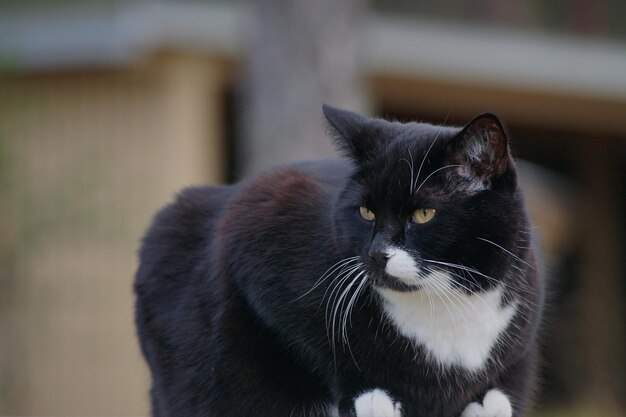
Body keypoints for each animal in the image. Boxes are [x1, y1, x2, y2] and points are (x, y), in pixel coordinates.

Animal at [135, 105, 540, 416]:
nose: (377, 253)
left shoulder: (517, 346)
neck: (442, 306)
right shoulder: (259, 219)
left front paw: (488, 404)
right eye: (365, 212)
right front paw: (373, 398)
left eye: (424, 214)